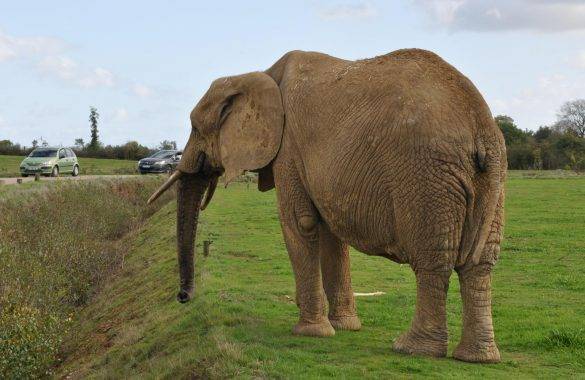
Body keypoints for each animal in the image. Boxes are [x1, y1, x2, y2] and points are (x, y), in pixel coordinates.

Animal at [149, 49, 506, 364]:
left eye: (196, 128)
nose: (183, 298)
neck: (260, 74)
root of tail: (481, 126)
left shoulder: (289, 148)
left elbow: (301, 222)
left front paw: (310, 333)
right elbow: (331, 232)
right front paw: (345, 327)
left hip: (425, 175)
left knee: (434, 262)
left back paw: (411, 349)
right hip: (489, 178)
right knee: (479, 264)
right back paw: (478, 357)